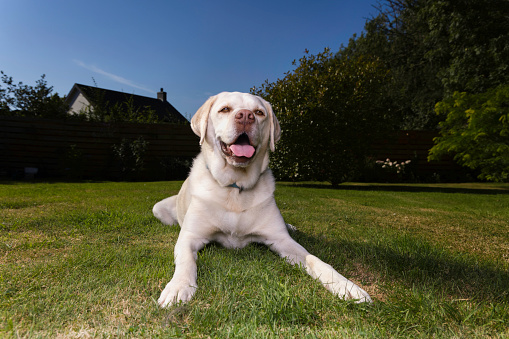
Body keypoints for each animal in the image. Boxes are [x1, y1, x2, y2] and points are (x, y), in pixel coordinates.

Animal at [151, 91, 370, 308]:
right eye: (225, 109)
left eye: (259, 112)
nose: (246, 116)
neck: (236, 187)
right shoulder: (189, 237)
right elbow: (186, 261)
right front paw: (178, 287)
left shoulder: (281, 240)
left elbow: (314, 259)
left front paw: (345, 285)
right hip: (158, 209)